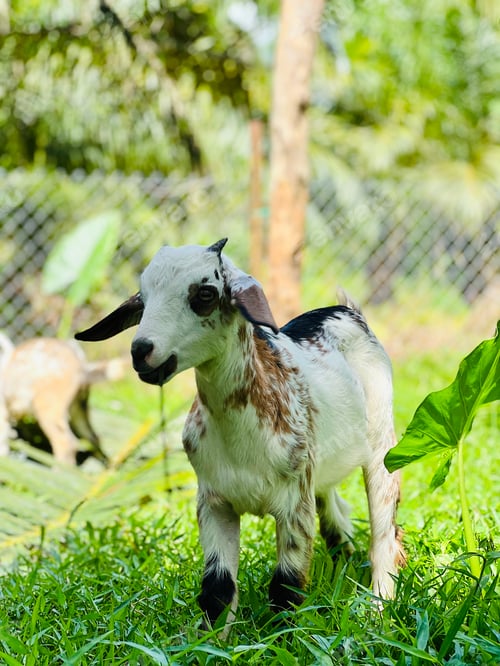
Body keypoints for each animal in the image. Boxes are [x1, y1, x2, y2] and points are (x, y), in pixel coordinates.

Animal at [75, 238, 405, 630]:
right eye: (143, 297)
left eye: (205, 294)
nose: (141, 351)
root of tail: (345, 310)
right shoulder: (214, 502)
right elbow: (217, 588)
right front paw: (212, 640)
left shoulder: (294, 504)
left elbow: (285, 587)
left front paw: (283, 638)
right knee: (334, 511)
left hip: (383, 442)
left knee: (384, 529)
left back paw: (379, 606)